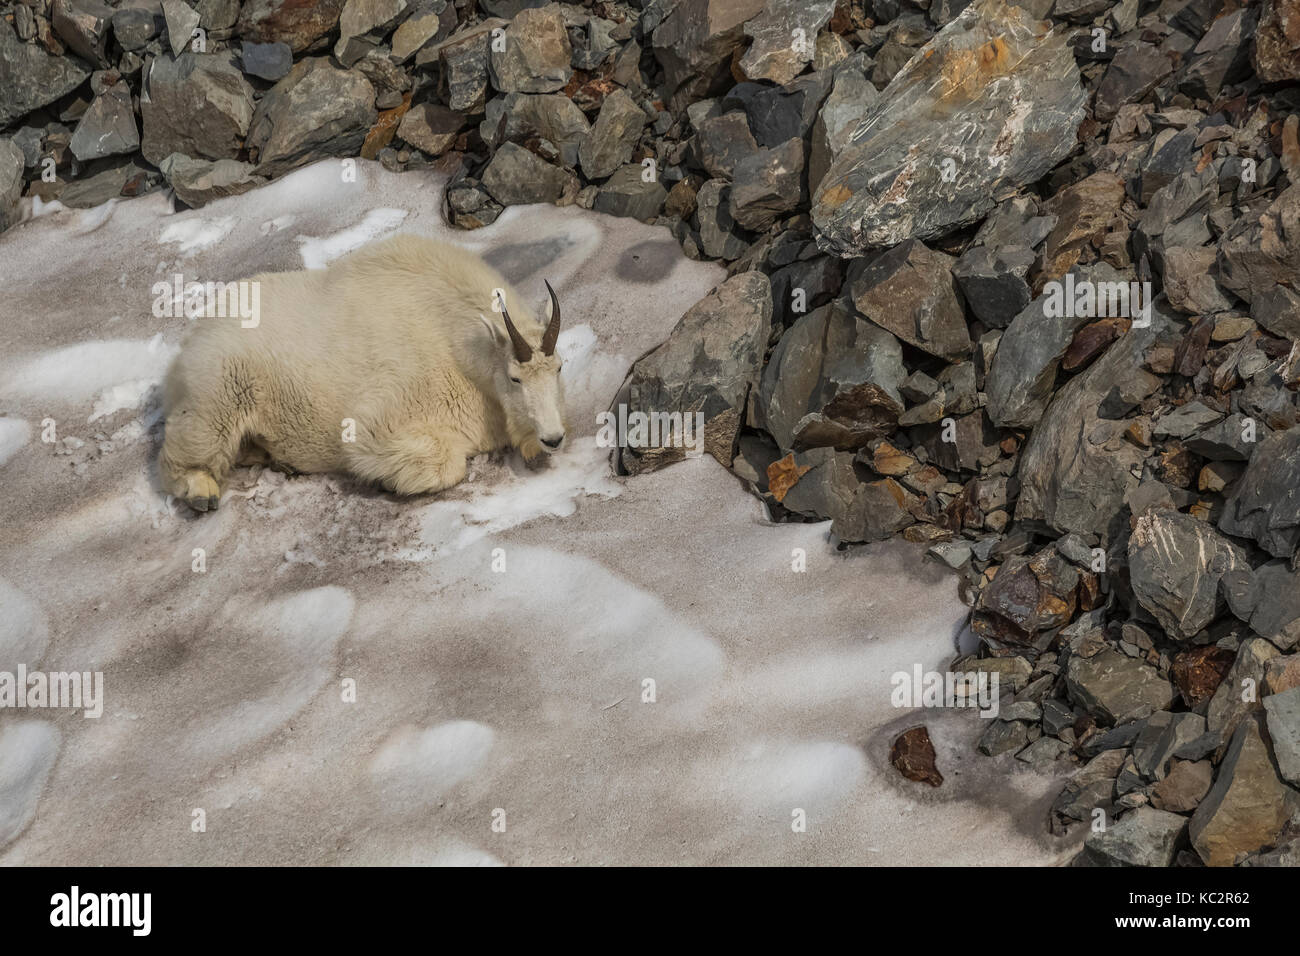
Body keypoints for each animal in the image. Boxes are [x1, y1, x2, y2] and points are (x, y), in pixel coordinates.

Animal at [159, 234, 566, 512]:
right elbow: (442, 462)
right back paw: (200, 491)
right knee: (184, 448)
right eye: (515, 377)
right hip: (219, 389)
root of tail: (190, 340)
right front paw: (389, 482)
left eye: (559, 368)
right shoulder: (383, 415)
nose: (553, 438)